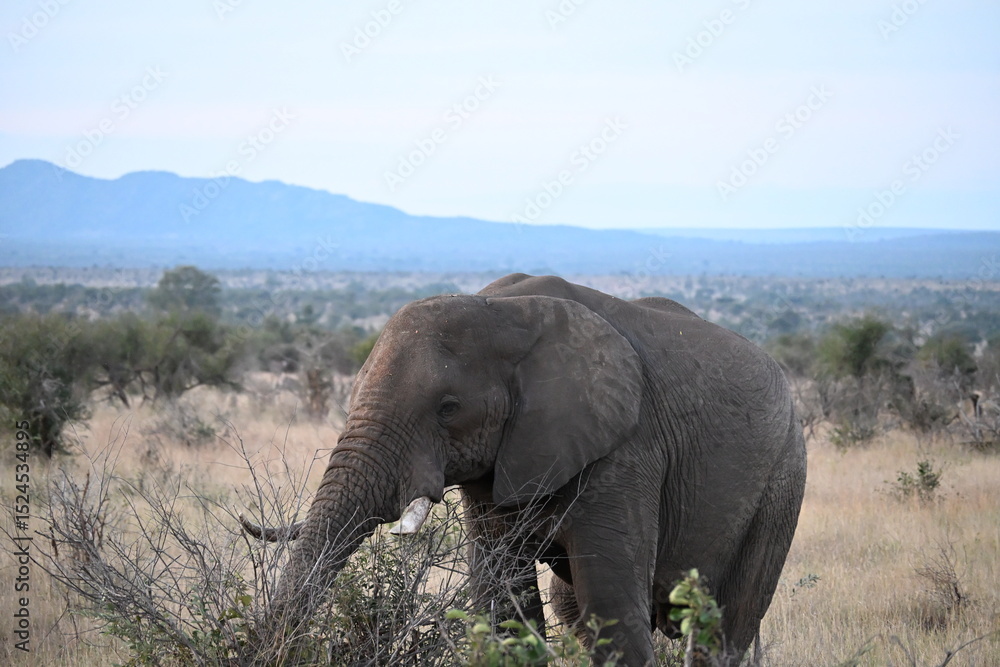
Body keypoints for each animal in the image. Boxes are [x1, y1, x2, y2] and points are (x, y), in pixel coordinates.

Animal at [242, 273, 807, 665]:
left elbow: (612, 611)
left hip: (783, 478)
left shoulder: (627, 451)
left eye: (448, 408)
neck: (501, 310)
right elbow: (503, 603)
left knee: (727, 626)